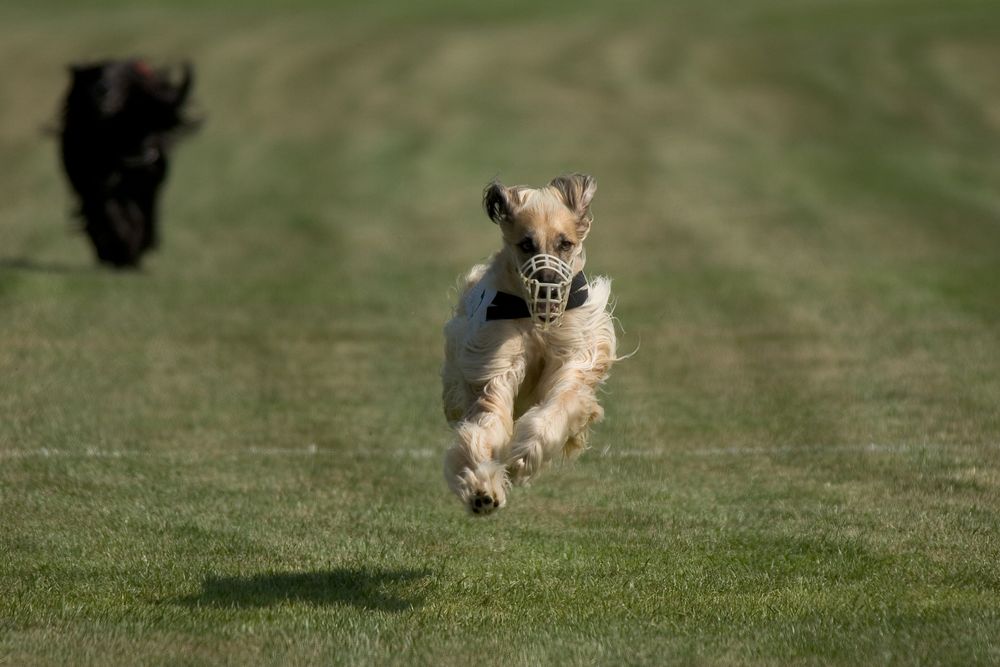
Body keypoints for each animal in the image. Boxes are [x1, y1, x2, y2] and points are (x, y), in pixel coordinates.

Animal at [61, 57, 198, 266]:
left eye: (120, 78)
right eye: (94, 75)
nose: (102, 89)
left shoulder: (148, 185)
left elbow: (143, 214)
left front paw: (135, 245)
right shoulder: (95, 185)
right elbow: (109, 212)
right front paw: (122, 244)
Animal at [440, 174, 612, 516]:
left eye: (565, 243)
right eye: (526, 244)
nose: (547, 285)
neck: (536, 323)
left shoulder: (572, 356)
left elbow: (561, 403)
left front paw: (524, 456)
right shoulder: (495, 360)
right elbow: (488, 421)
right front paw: (482, 489)